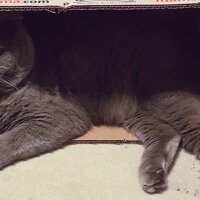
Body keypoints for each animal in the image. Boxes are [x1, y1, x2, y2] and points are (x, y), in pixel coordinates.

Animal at [1, 10, 200, 195]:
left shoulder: (57, 115)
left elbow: (11, 139)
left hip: (165, 96)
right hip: (134, 112)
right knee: (169, 133)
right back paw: (153, 175)